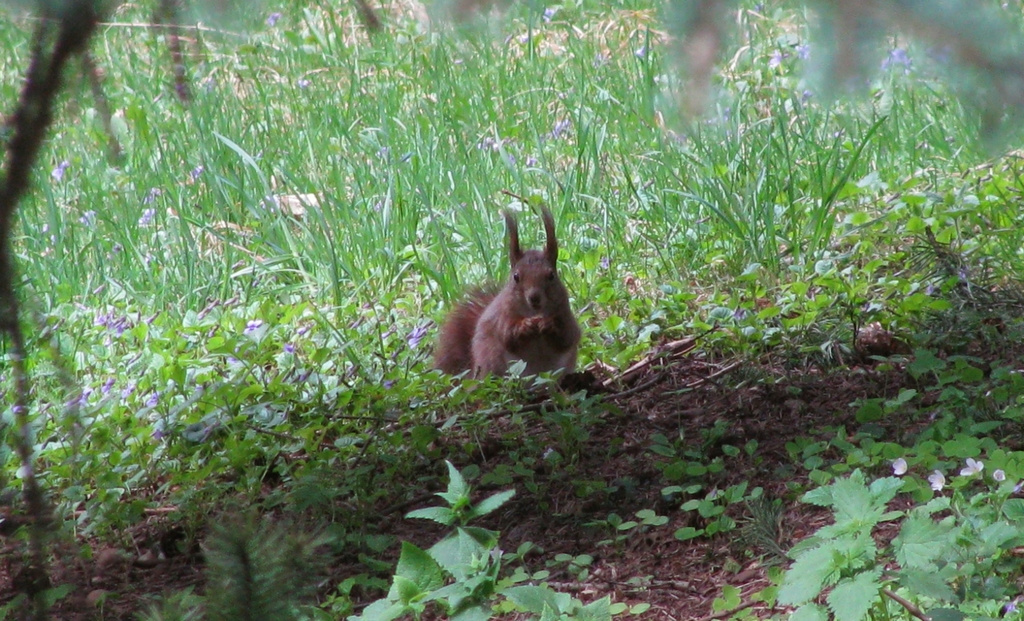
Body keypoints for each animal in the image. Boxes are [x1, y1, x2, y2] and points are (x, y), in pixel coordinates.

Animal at [436, 207, 581, 377]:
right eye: (516, 276)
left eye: (551, 275)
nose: (534, 298)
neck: (533, 312)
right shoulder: (503, 317)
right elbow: (507, 336)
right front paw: (526, 325)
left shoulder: (565, 314)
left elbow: (567, 336)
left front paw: (547, 323)